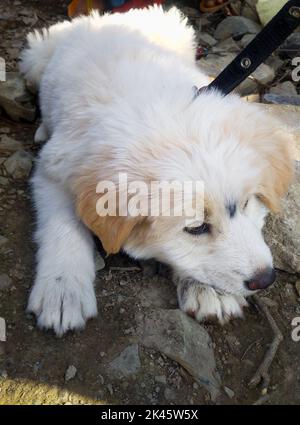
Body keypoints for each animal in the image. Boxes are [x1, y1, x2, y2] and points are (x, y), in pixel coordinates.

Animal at [20, 4, 292, 332]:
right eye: (196, 227)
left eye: (247, 203)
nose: (266, 279)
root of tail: (114, 16)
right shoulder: (52, 169)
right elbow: (62, 224)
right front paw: (62, 289)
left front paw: (208, 289)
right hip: (37, 56)